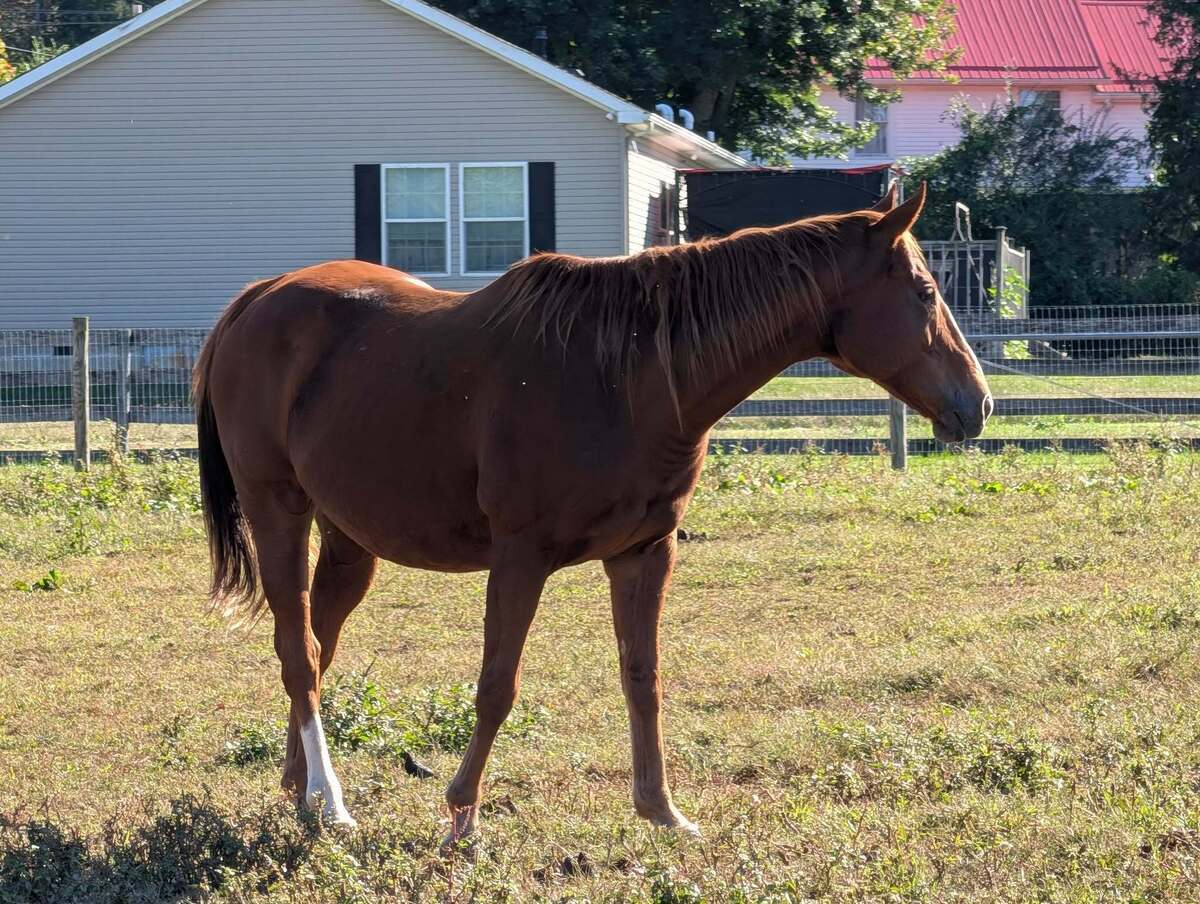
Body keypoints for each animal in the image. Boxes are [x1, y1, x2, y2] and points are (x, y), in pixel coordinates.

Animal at [193, 183, 991, 844]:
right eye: (926, 292)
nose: (978, 404)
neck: (633, 377)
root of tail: (260, 297)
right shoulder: (520, 557)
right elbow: (497, 686)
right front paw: (462, 817)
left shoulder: (645, 553)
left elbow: (643, 678)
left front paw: (662, 811)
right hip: (278, 510)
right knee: (298, 653)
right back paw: (332, 801)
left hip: (350, 538)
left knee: (317, 643)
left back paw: (301, 790)